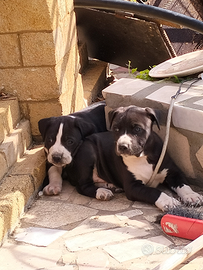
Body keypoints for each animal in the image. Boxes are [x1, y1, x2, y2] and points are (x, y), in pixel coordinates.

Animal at [64, 105, 203, 211]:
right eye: (116, 129)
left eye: (137, 129)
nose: (122, 146)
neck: (144, 156)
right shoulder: (133, 187)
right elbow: (154, 192)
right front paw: (169, 201)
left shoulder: (173, 172)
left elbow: (183, 184)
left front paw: (192, 195)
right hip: (87, 150)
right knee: (83, 185)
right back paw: (102, 192)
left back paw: (111, 186)